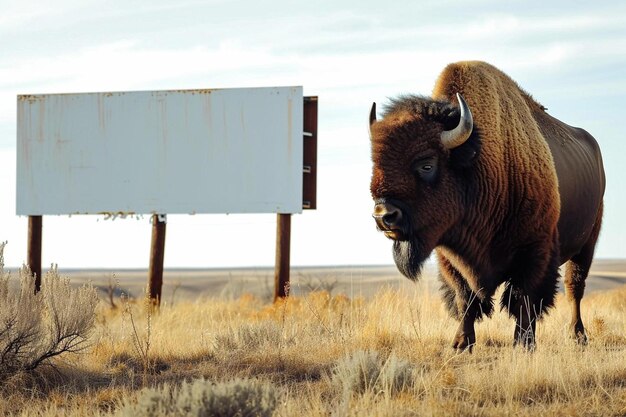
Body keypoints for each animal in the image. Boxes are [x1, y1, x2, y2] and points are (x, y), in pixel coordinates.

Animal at [368, 60, 604, 350]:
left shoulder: (535, 251)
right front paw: (461, 343)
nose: (383, 216)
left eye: (427, 164)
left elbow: (524, 299)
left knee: (575, 288)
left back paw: (578, 335)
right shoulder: (450, 257)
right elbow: (465, 297)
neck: (479, 164)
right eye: (375, 165)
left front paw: (524, 343)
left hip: (587, 244)